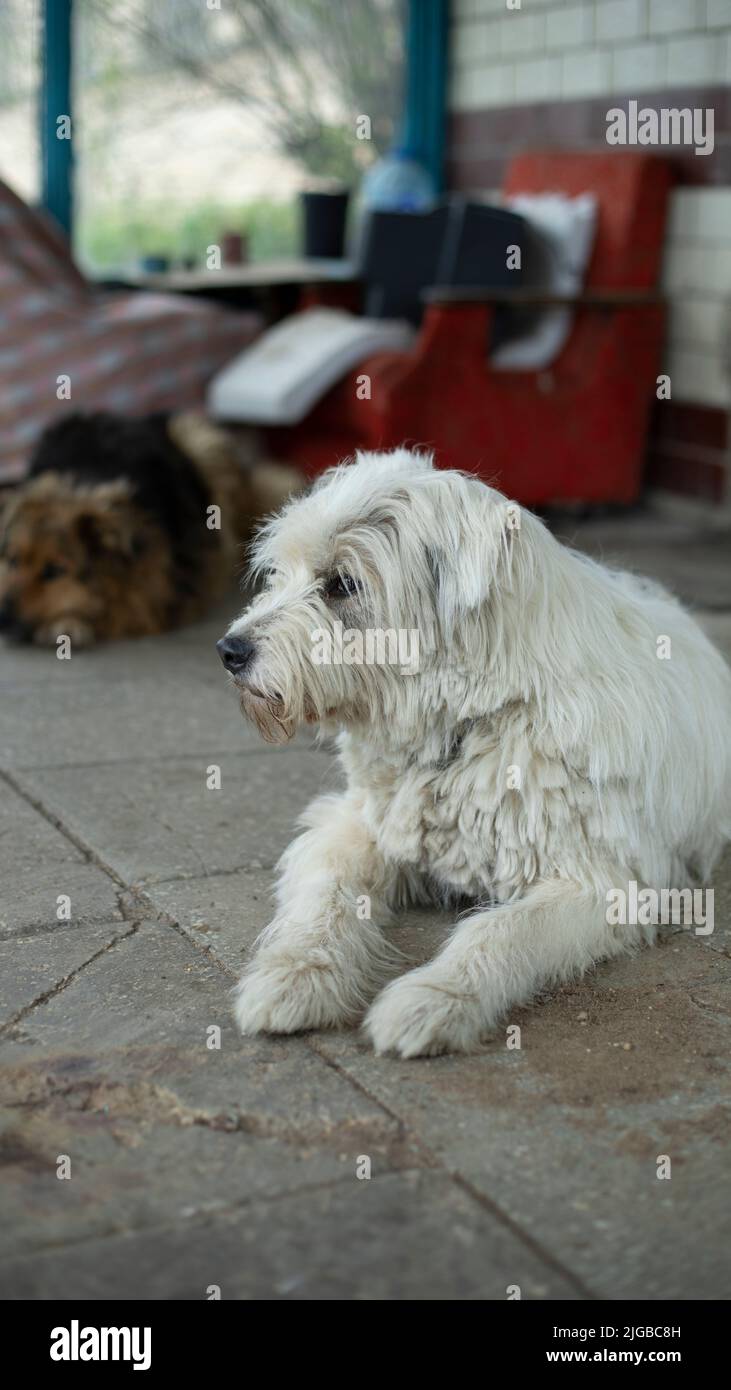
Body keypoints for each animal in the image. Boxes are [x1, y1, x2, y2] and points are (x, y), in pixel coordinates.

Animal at [218, 450, 731, 1056]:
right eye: (279, 573)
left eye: (342, 584)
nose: (229, 650)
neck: (476, 719)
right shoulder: (354, 827)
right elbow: (326, 898)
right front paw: (295, 975)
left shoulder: (598, 882)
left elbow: (499, 929)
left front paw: (434, 998)